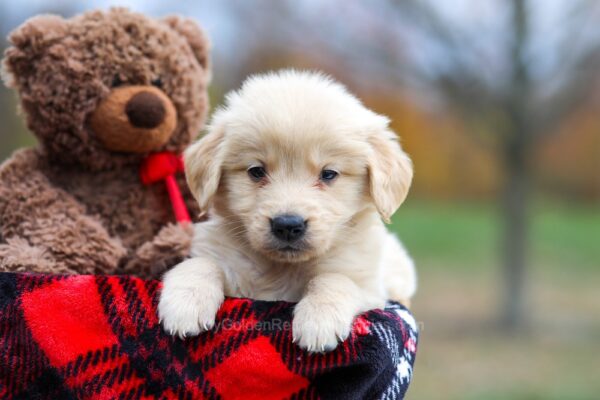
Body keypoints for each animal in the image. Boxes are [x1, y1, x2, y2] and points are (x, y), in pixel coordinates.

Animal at [157, 70, 414, 352]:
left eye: (328, 174)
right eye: (256, 171)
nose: (288, 225)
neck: (281, 268)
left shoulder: (368, 285)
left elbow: (335, 278)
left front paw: (319, 320)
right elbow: (201, 263)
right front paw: (185, 302)